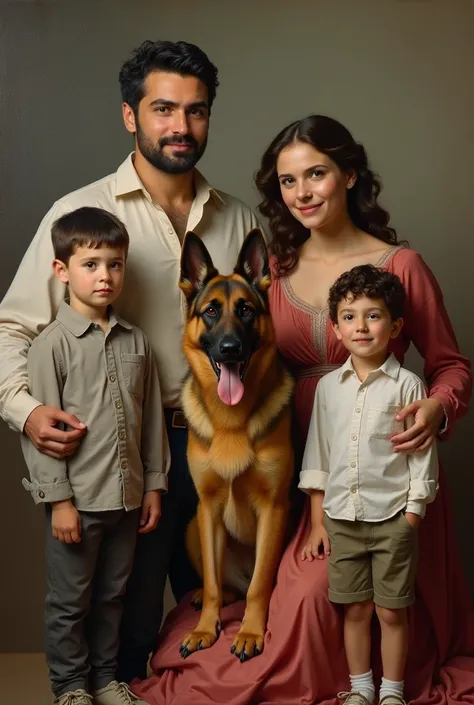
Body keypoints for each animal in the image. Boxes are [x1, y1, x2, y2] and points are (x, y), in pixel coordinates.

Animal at [179, 230, 292, 660]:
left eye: (245, 310)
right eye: (211, 311)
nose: (229, 349)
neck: (231, 421)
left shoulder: (273, 509)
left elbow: (261, 585)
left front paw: (249, 632)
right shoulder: (207, 508)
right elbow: (212, 582)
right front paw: (205, 628)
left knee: (249, 586)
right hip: (191, 528)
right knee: (223, 587)